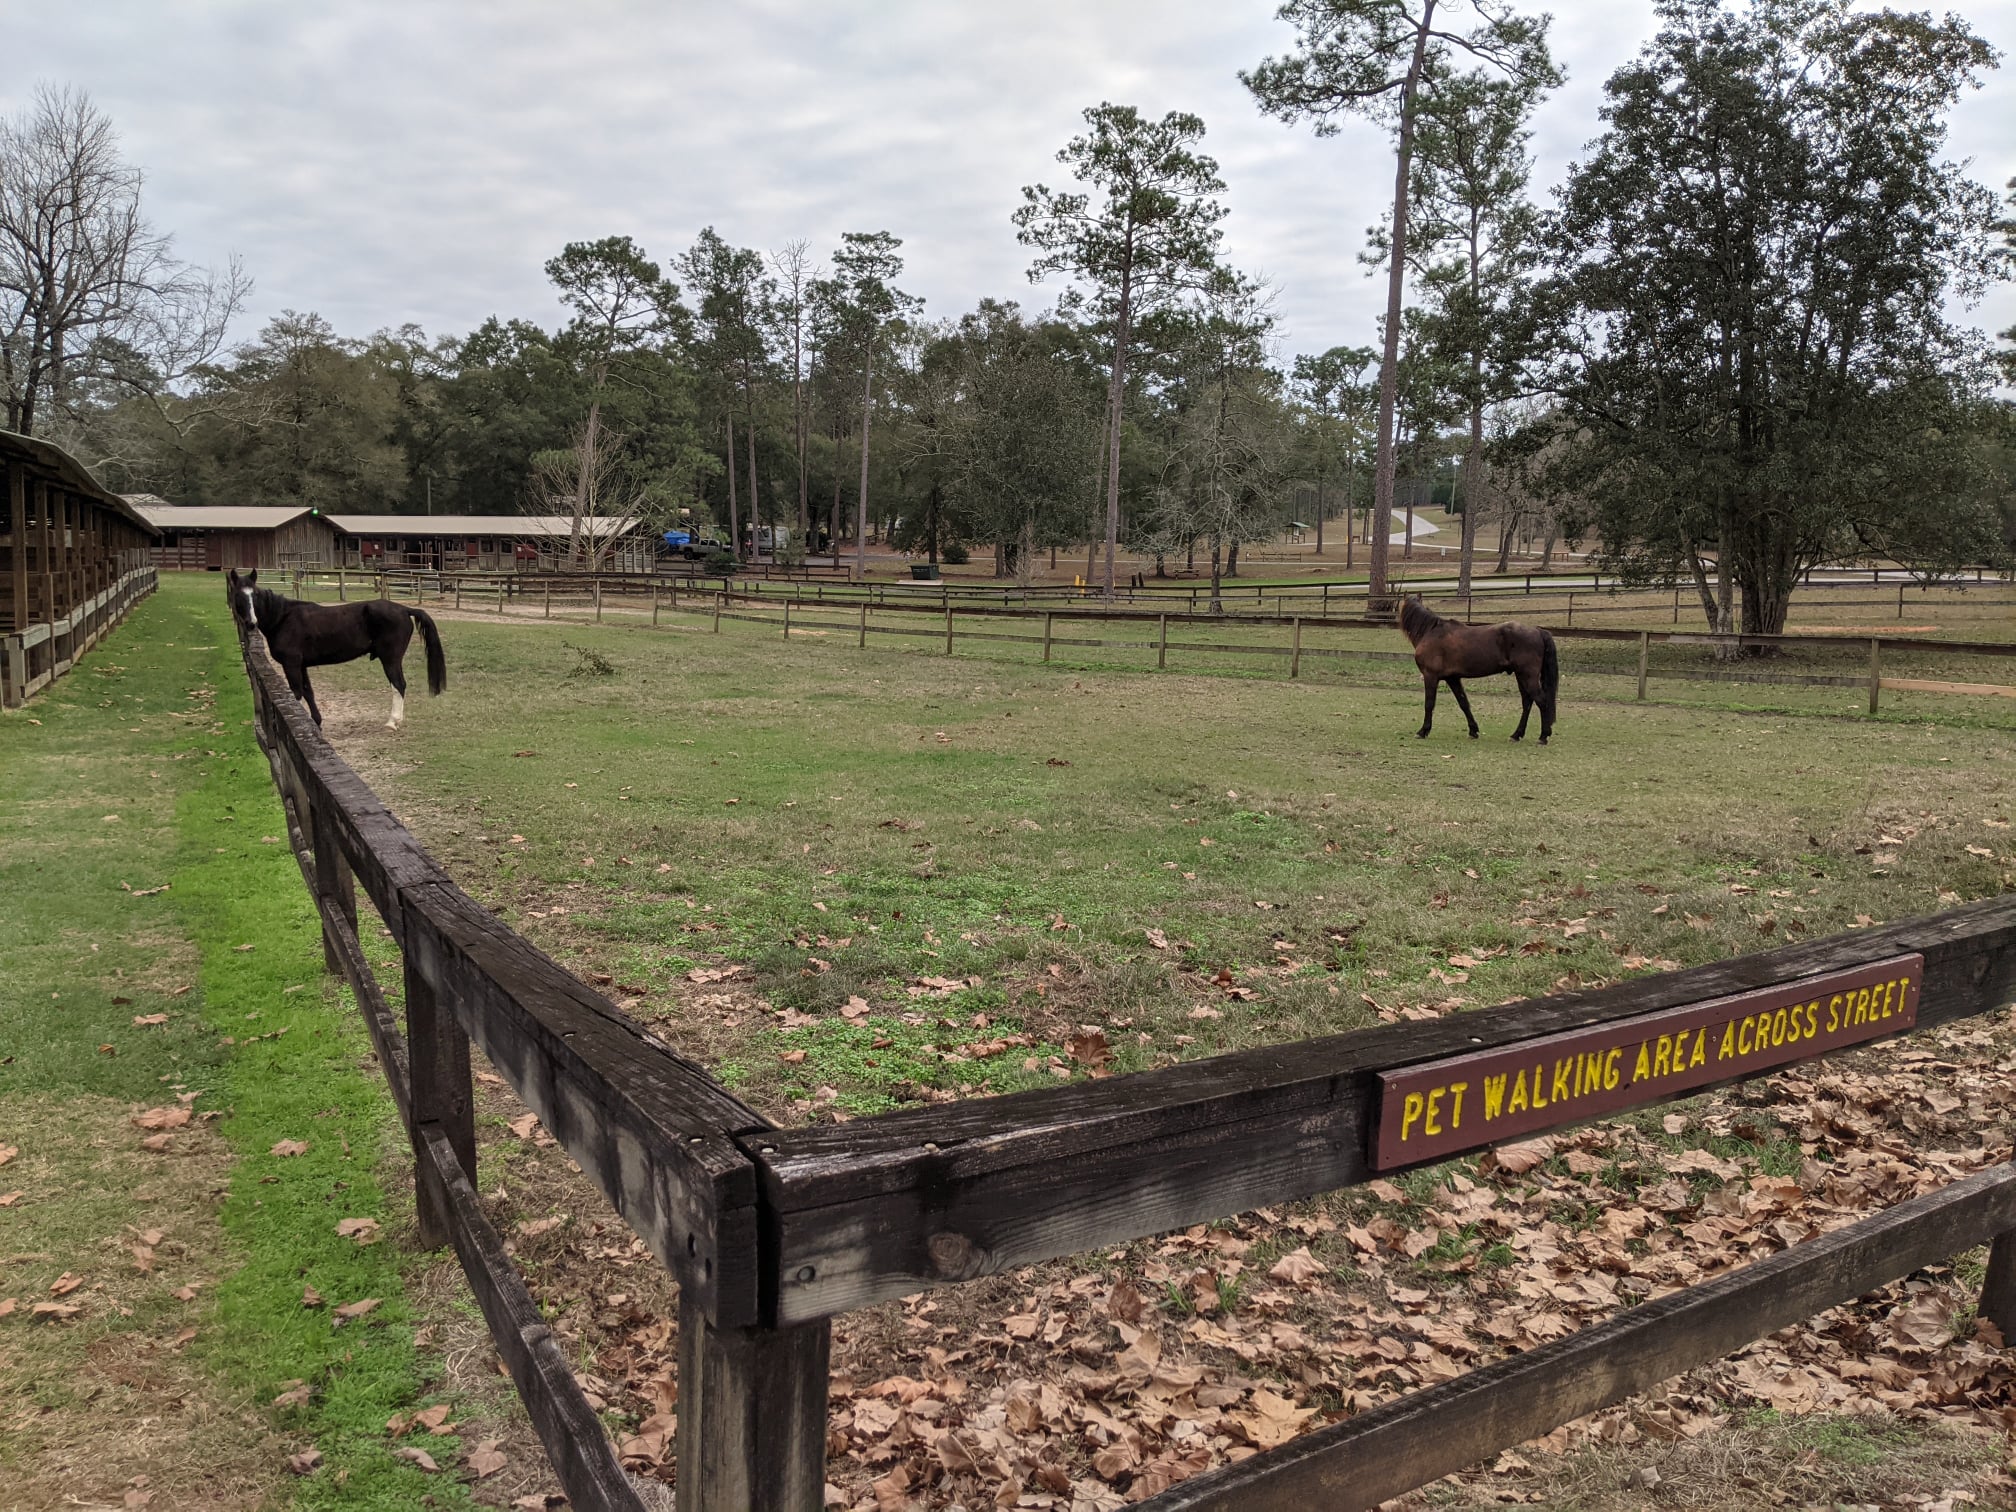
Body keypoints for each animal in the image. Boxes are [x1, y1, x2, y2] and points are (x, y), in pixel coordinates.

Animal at [230, 572, 447, 729]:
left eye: (255, 595)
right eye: (239, 596)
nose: (251, 623)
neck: (283, 618)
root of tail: (404, 609)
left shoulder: (291, 664)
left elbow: (296, 694)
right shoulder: (301, 665)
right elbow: (308, 693)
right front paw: (316, 723)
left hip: (390, 659)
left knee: (399, 685)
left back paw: (392, 722)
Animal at [1403, 596, 1556, 753]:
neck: (1430, 632)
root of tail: (1538, 631)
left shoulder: (1430, 676)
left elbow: (1429, 704)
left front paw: (1423, 731)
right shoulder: (1453, 678)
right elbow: (1463, 703)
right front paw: (1473, 730)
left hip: (1528, 676)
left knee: (1541, 701)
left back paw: (1543, 736)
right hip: (1521, 676)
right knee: (1527, 702)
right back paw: (1516, 735)